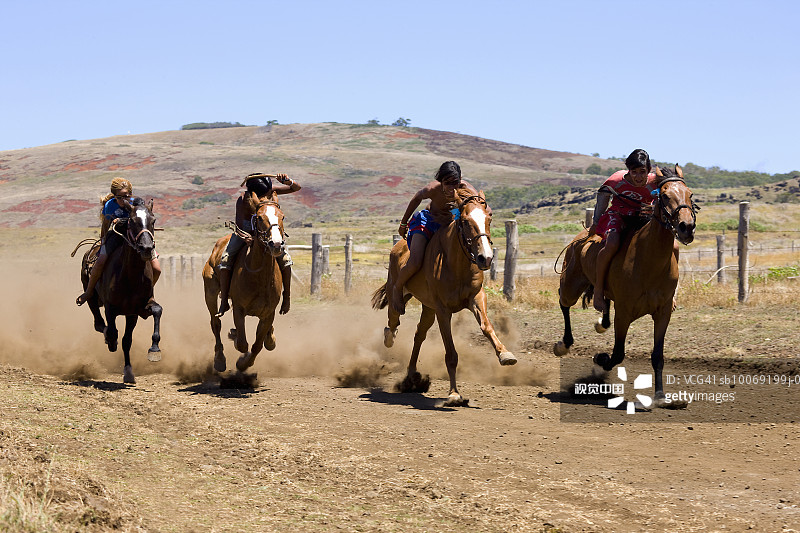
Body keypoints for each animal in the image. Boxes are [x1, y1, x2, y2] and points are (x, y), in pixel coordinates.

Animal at [202, 192, 285, 374]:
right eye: (259, 218)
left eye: (282, 216)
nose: (276, 244)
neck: (259, 276)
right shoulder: (238, 309)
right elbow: (242, 344)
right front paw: (240, 357)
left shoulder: (268, 313)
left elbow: (257, 345)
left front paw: (245, 362)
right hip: (210, 292)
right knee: (215, 323)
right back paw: (219, 360)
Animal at [371, 192, 517, 407]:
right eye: (465, 221)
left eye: (489, 218)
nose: (486, 258)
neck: (456, 264)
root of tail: (397, 247)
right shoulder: (443, 310)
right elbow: (451, 353)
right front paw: (454, 394)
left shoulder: (476, 297)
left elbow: (487, 326)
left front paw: (505, 354)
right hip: (399, 295)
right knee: (394, 319)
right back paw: (390, 339)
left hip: (428, 308)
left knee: (419, 335)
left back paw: (412, 376)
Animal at [554, 165, 697, 405]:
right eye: (665, 195)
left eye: (690, 194)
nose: (687, 227)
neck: (649, 261)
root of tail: (581, 238)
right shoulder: (624, 312)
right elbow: (618, 353)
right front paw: (601, 358)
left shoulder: (663, 313)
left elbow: (657, 356)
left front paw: (660, 396)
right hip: (571, 285)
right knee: (563, 302)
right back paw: (563, 345)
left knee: (603, 303)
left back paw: (601, 321)